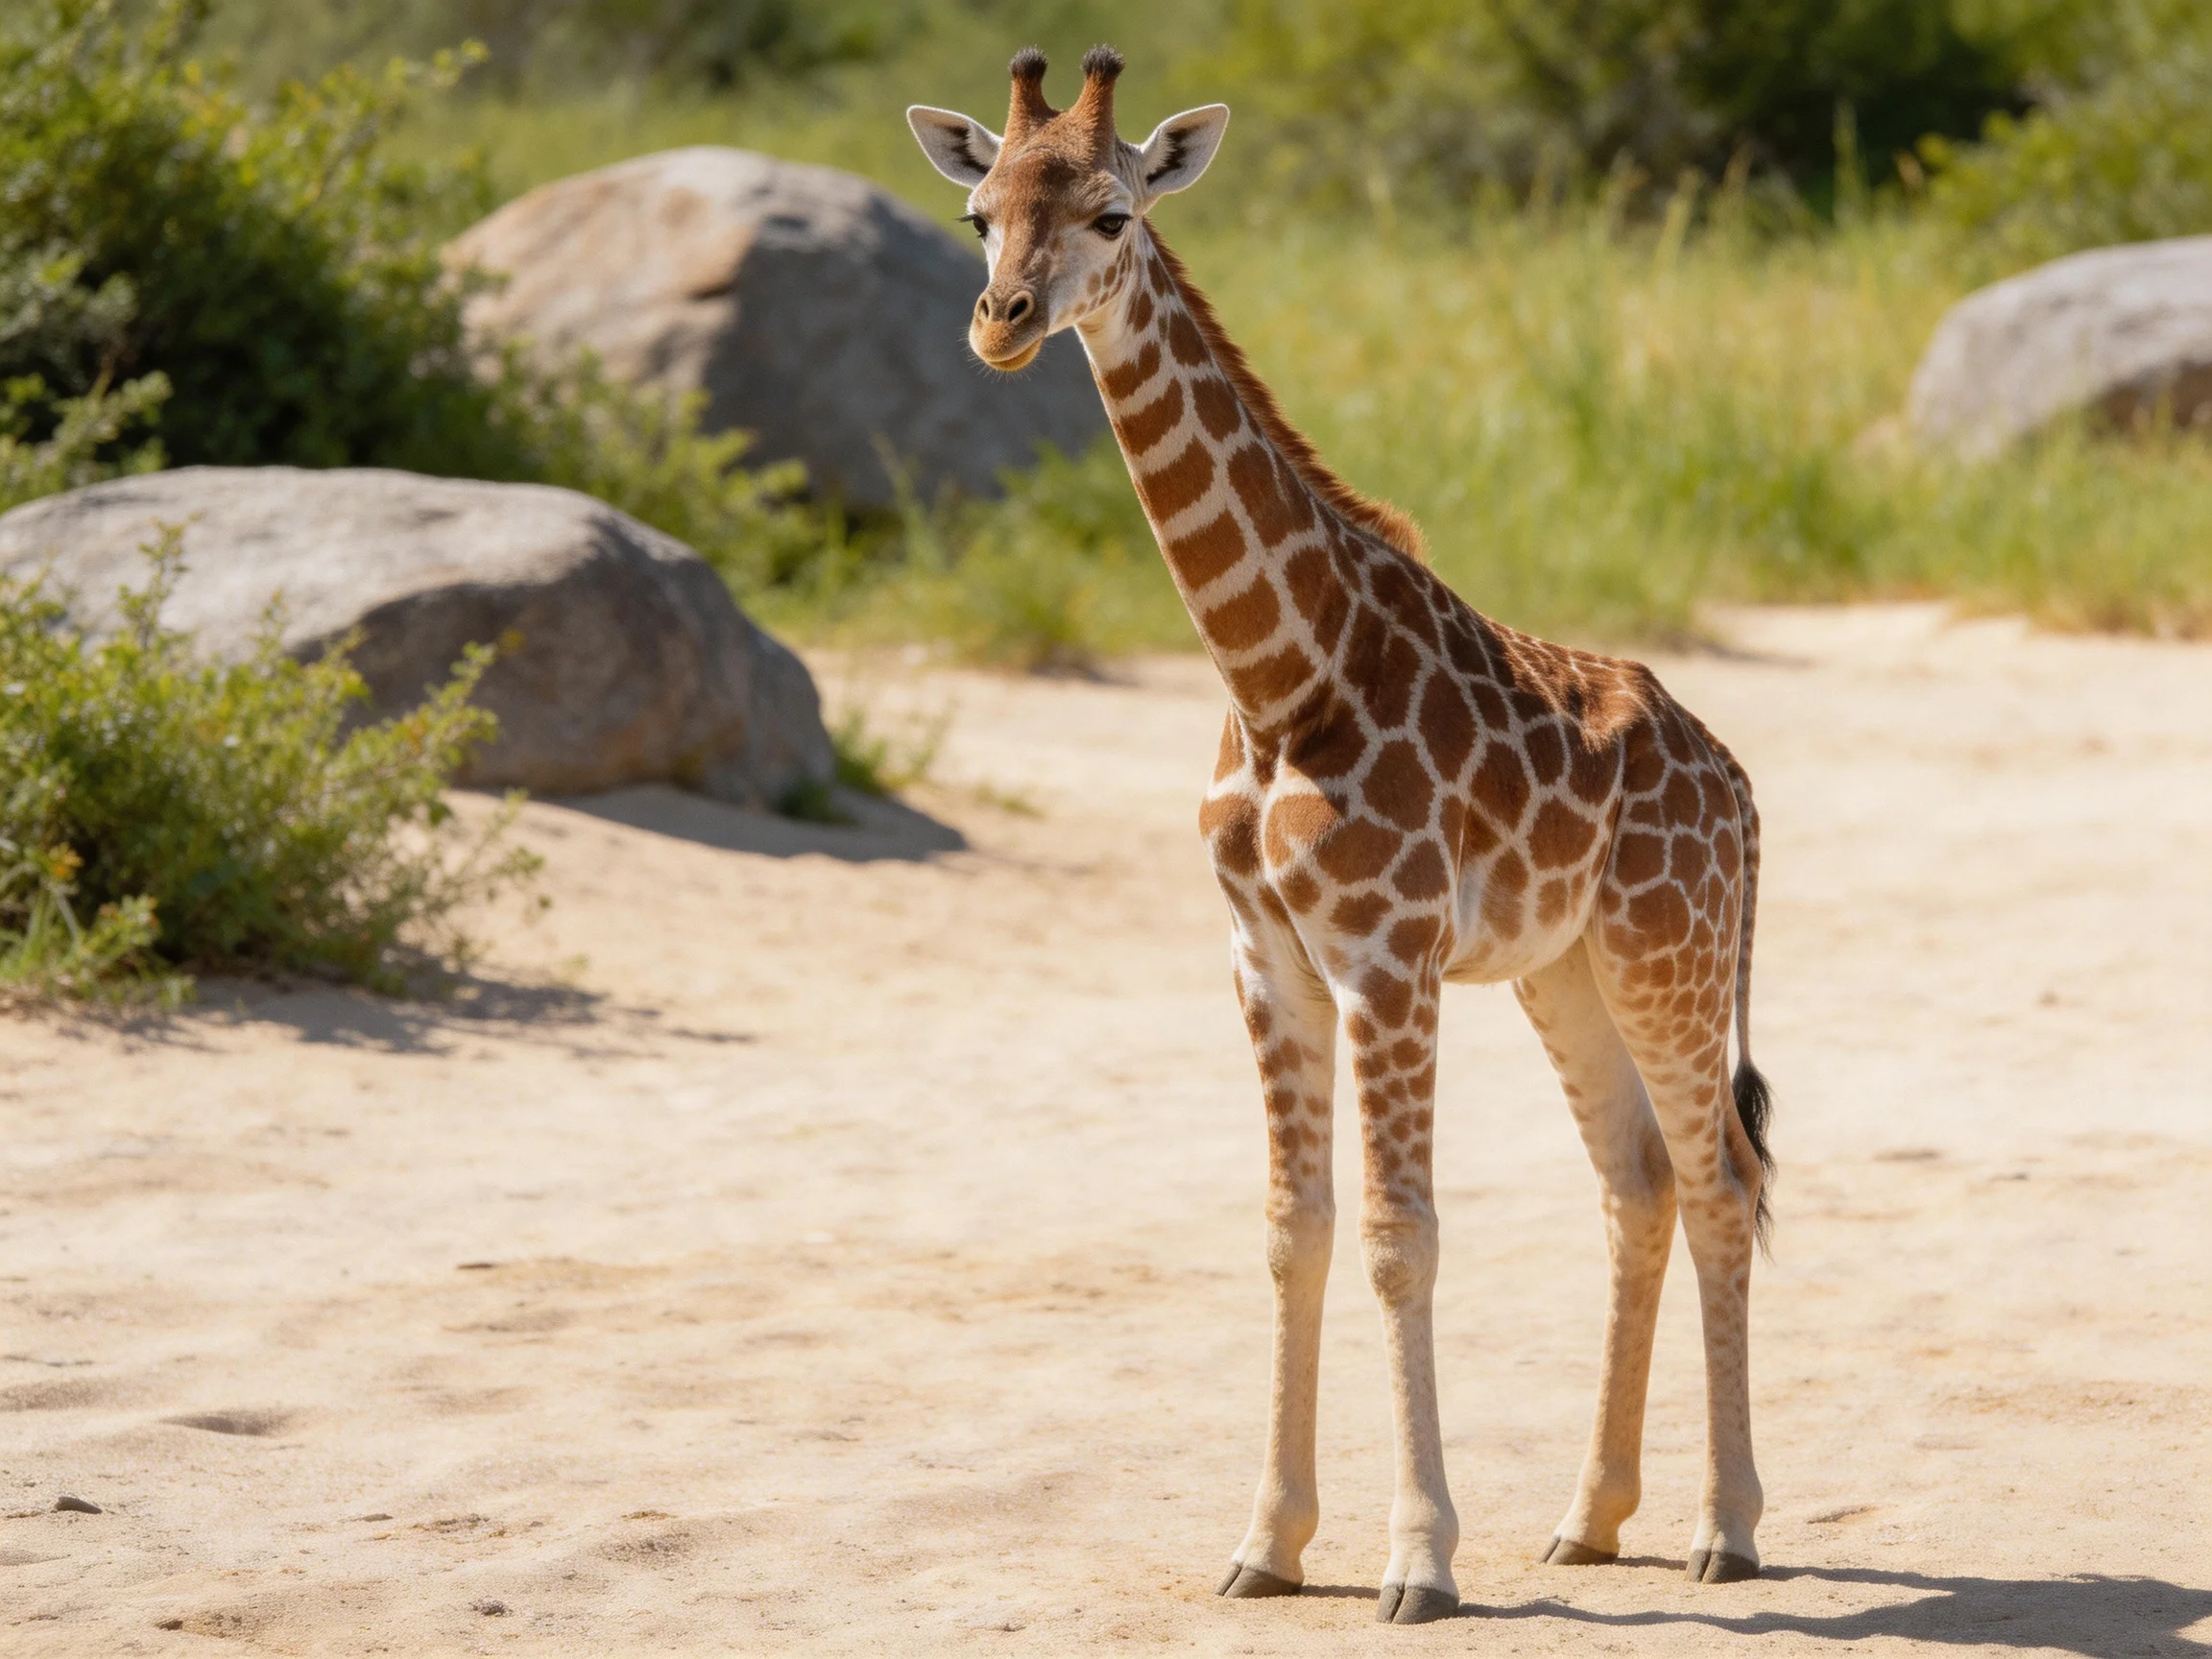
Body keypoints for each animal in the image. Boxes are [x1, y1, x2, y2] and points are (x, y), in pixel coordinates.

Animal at [910, 47, 1777, 1626]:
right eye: (977, 214)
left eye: (1115, 211)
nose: (1002, 323)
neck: (1274, 675)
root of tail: (1739, 787)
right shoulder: (1264, 958)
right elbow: (1291, 1232)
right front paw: (1266, 1544)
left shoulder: (1388, 955)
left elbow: (1397, 1237)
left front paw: (1417, 1562)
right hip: (1565, 972)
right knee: (1637, 1185)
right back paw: (1589, 1520)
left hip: (1668, 960)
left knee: (1723, 1184)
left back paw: (1725, 1529)